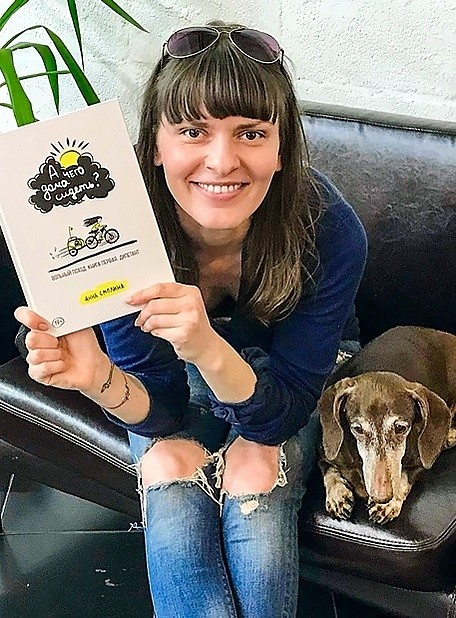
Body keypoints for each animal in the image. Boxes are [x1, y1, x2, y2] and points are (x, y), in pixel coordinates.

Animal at [318, 326, 456, 524]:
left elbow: (404, 477)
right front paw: (338, 495)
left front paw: (389, 503)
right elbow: (329, 470)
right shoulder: (324, 454)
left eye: (401, 428)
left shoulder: (420, 462)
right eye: (357, 429)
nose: (382, 496)